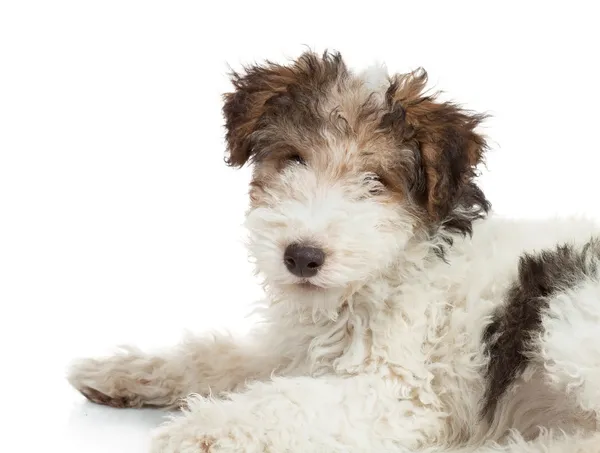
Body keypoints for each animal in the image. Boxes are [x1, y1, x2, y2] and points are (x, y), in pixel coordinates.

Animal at [68, 51, 600, 450]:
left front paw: (201, 428)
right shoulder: (293, 351)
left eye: (375, 181)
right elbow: (215, 356)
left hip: (562, 313)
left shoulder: (396, 394)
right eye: (294, 159)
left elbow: (284, 401)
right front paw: (122, 371)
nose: (302, 257)